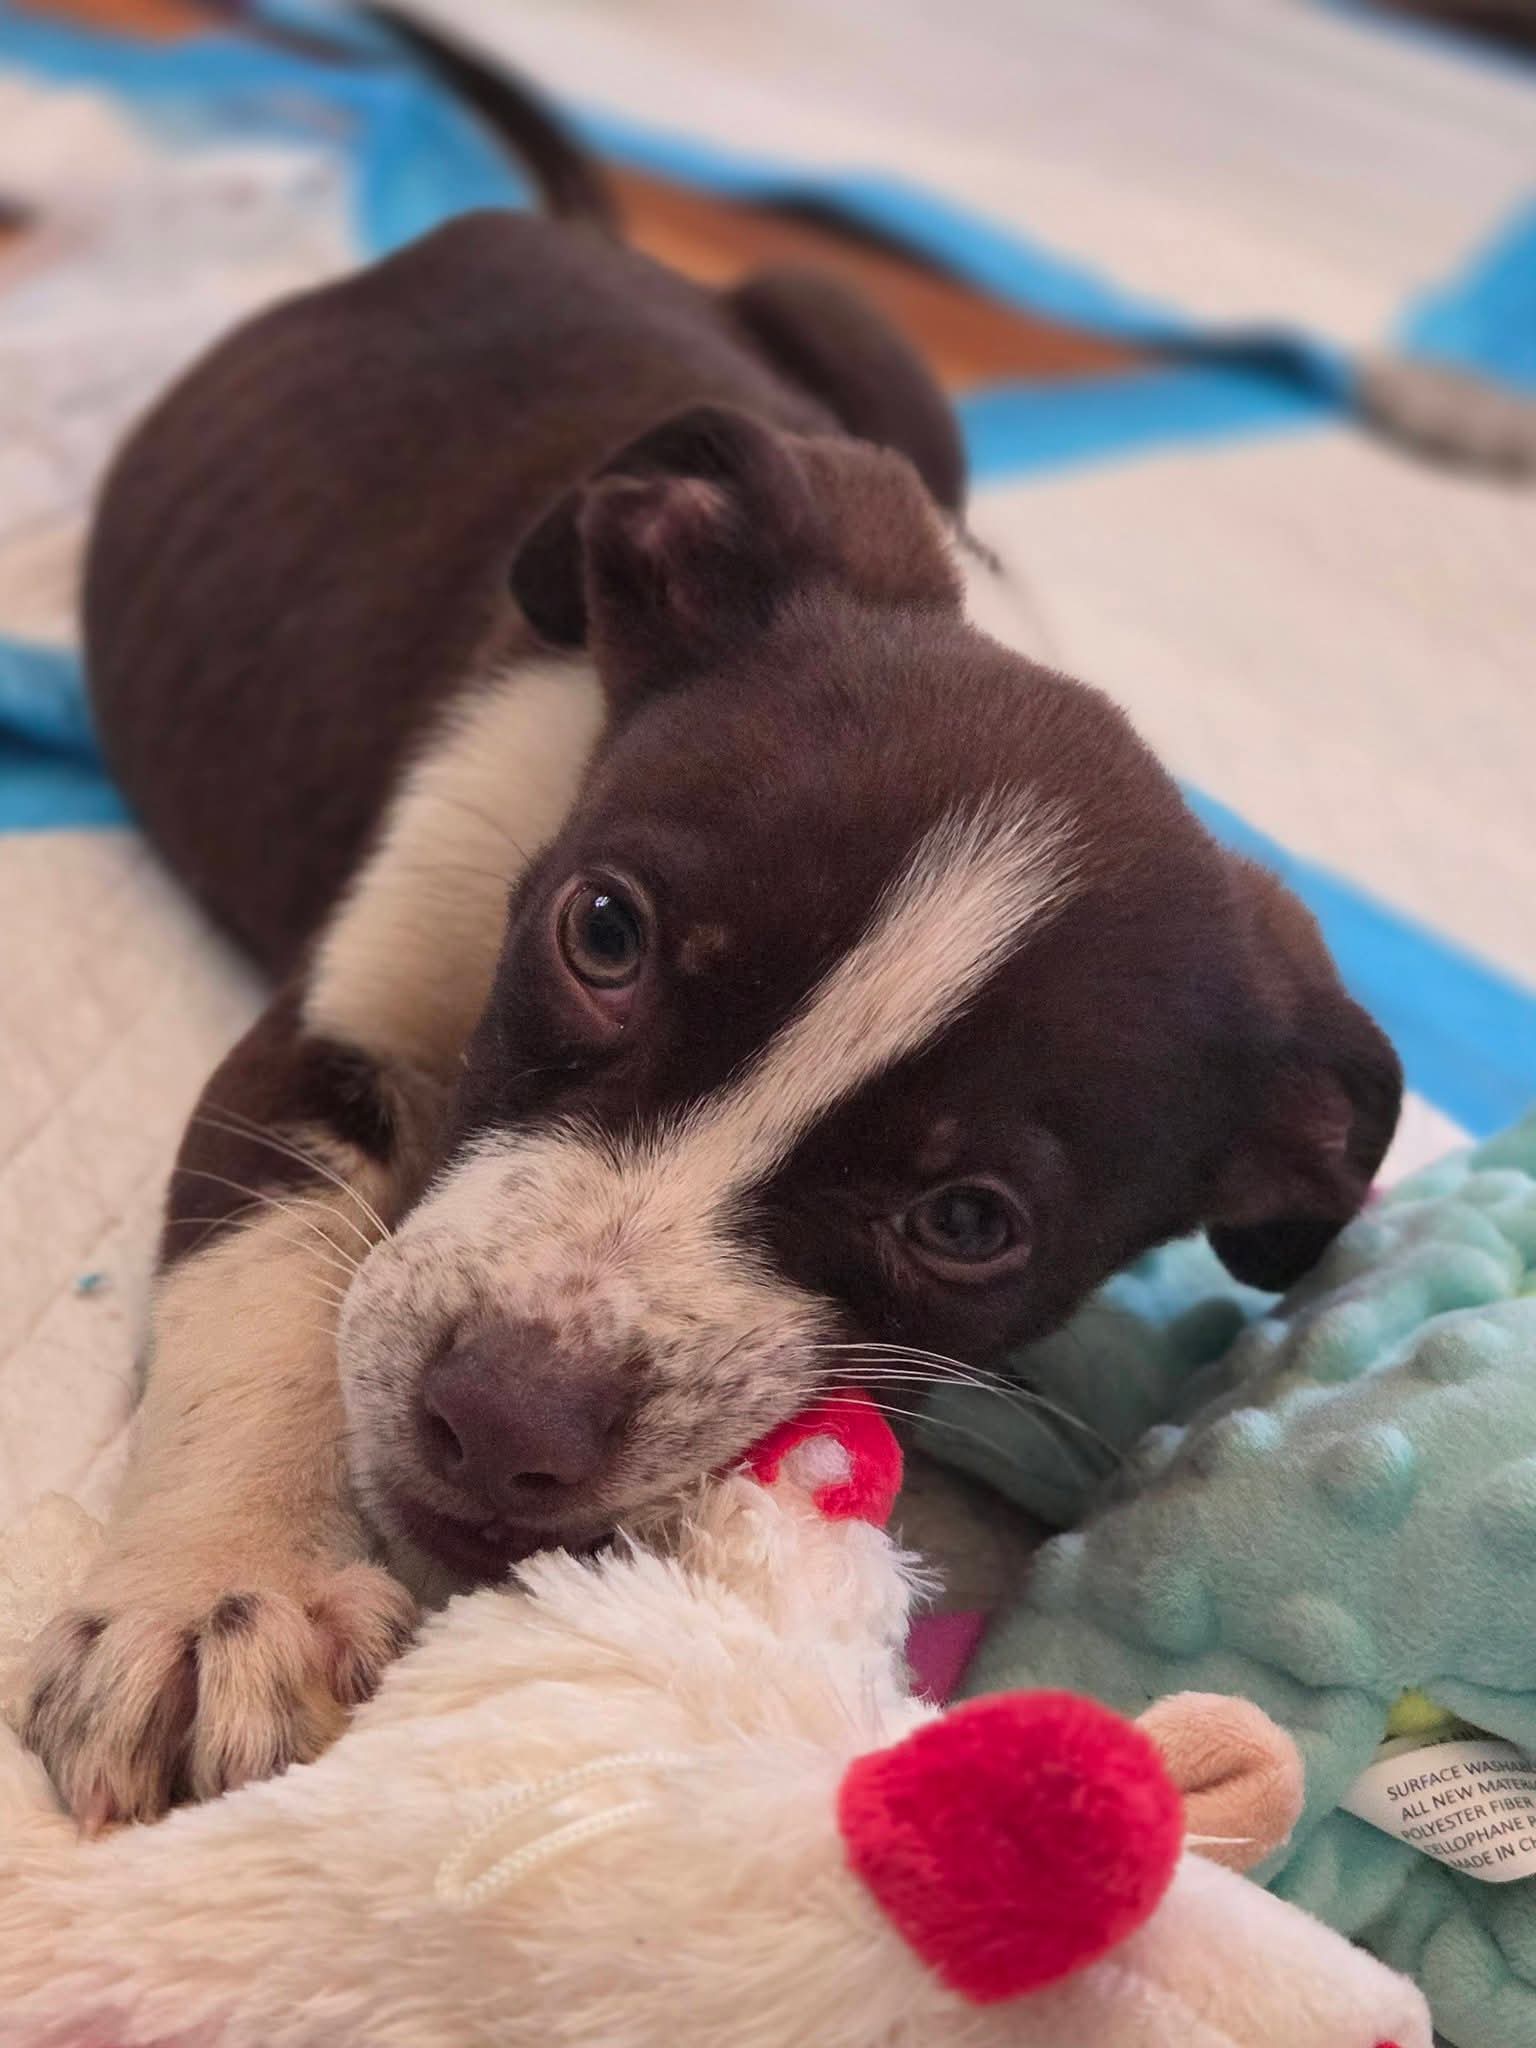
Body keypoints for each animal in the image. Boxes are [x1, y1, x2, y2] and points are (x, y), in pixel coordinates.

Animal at [24, 15, 1401, 1828]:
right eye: (602, 934)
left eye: (968, 1221)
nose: (498, 1422)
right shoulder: (322, 1035)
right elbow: (261, 1290)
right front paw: (219, 1588)